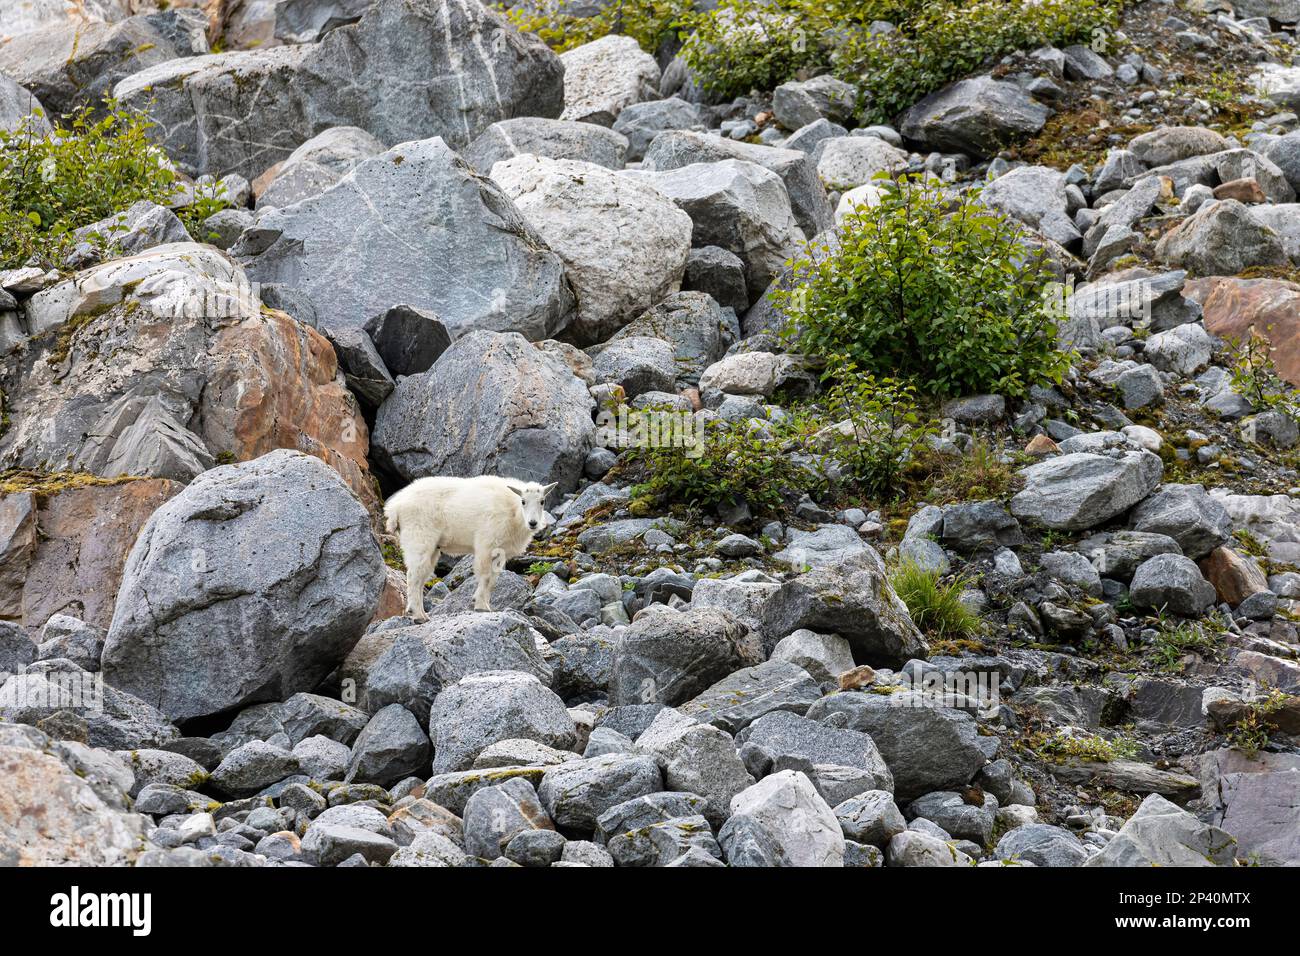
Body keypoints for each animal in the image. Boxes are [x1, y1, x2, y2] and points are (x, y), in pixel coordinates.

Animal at [379, 478, 553, 621]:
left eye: (542, 501)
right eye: (523, 501)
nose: (533, 523)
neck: (513, 511)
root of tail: (395, 508)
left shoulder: (500, 551)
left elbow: (493, 579)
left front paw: (485, 604)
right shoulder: (485, 544)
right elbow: (486, 576)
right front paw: (481, 606)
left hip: (431, 547)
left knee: (421, 577)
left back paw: (422, 614)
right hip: (419, 539)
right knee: (413, 576)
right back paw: (417, 615)